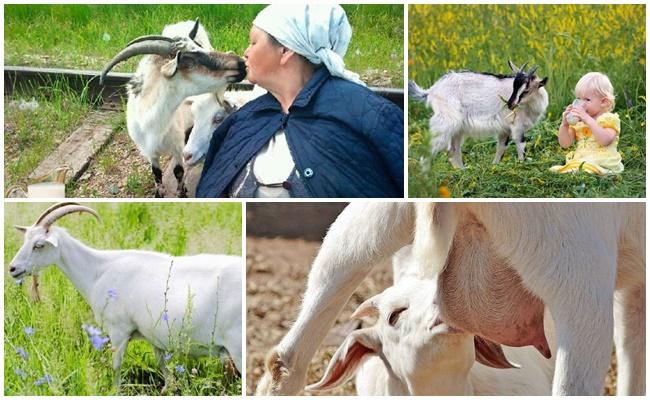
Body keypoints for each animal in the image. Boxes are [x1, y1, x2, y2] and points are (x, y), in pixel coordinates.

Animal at [8, 203, 242, 391]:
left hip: (237, 346)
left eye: (39, 245)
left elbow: (116, 365)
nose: (13, 268)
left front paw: (116, 391)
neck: (98, 271)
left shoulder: (118, 330)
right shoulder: (154, 335)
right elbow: (163, 366)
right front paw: (168, 388)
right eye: (25, 240)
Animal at [100, 19, 246, 197]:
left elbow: (178, 172)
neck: (153, 123)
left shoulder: (177, 147)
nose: (240, 63)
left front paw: (182, 192)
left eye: (198, 47)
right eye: (189, 62)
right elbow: (157, 173)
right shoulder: (149, 151)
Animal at [409, 61, 548, 168]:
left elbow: (501, 148)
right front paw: (521, 165)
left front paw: (495, 167)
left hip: (457, 128)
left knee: (453, 151)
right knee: (429, 152)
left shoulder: (504, 128)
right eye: (514, 87)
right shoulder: (516, 125)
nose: (510, 105)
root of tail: (431, 91)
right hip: (446, 121)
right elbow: (521, 144)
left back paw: (462, 172)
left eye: (526, 90)